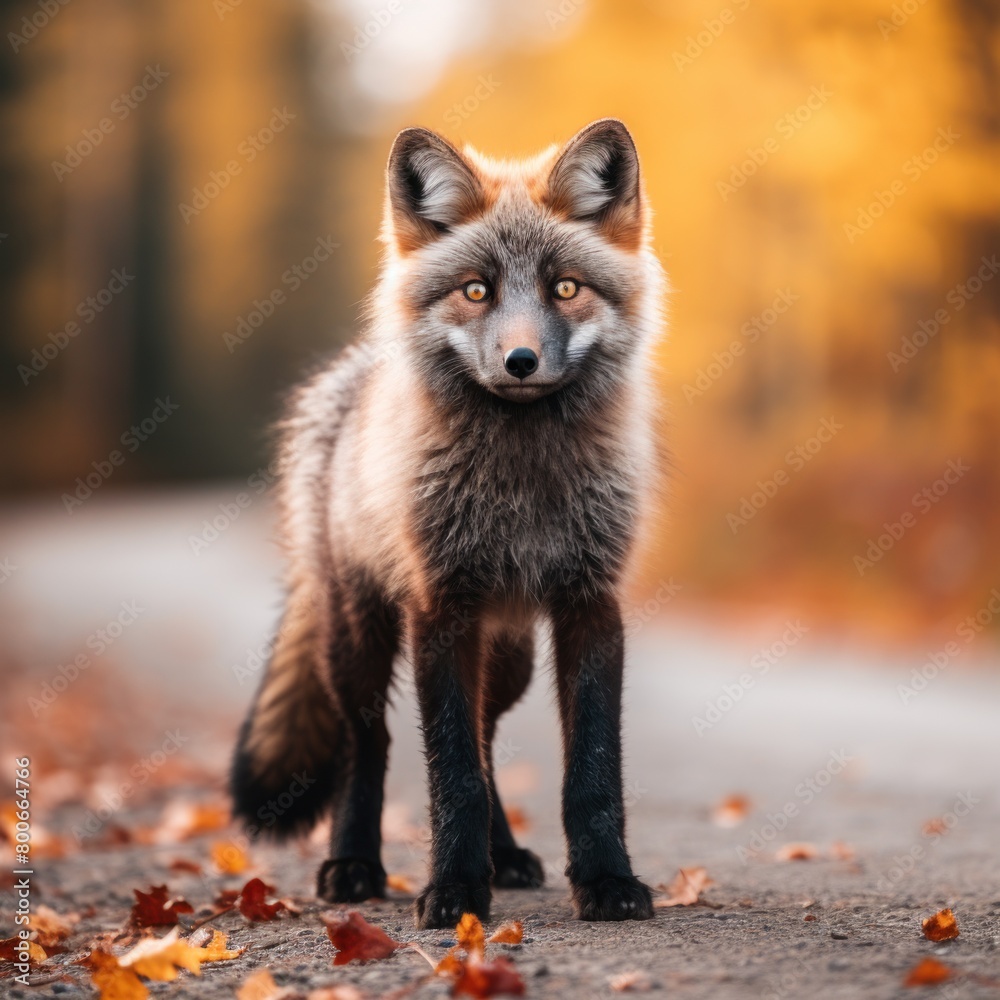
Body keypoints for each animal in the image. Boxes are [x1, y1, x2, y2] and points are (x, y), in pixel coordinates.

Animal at [230, 118, 666, 929]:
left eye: (565, 287)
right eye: (476, 291)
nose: (521, 360)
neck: (521, 490)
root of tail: (353, 371)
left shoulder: (589, 603)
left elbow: (591, 773)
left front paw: (606, 879)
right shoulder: (441, 608)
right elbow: (450, 772)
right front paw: (456, 891)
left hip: (511, 654)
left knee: (489, 734)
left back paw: (507, 855)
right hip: (360, 639)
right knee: (368, 743)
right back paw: (354, 864)